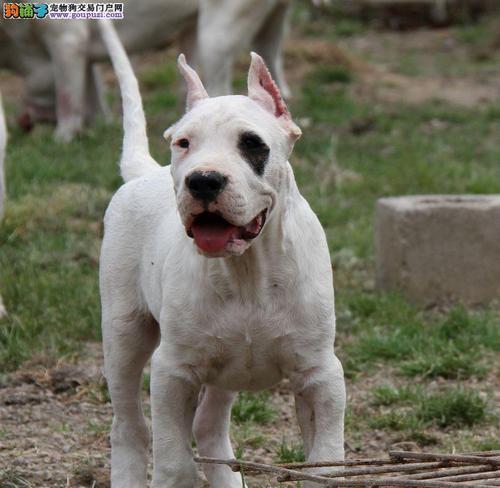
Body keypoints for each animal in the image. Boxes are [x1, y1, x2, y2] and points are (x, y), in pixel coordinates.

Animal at [99, 17, 346, 486]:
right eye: (183, 143)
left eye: (251, 143)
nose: (203, 181)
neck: (247, 270)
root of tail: (143, 171)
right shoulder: (172, 371)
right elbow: (174, 459)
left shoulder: (321, 376)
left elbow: (325, 460)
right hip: (124, 332)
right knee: (129, 426)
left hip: (224, 368)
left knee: (209, 425)